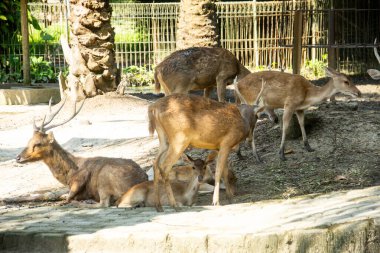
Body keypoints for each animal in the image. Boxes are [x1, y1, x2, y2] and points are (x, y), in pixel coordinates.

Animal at [15, 98, 148, 207]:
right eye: (29, 141)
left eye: (38, 143)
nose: (18, 157)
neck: (68, 176)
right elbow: (49, 195)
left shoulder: (79, 180)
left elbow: (66, 197)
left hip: (104, 178)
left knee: (103, 203)